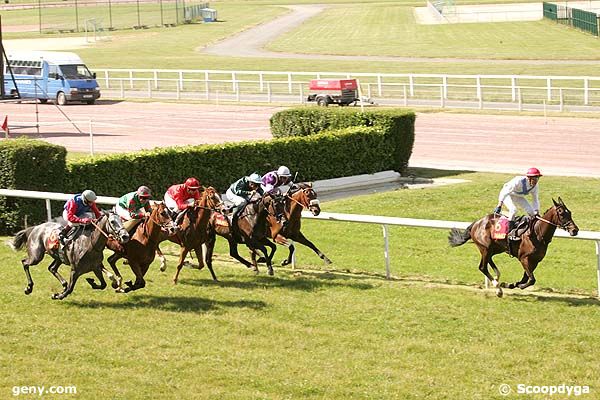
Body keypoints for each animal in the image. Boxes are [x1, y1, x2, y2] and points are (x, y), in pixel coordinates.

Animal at [448, 198, 580, 296]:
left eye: (570, 212)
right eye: (562, 213)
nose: (575, 230)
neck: (538, 234)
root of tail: (477, 222)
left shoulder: (535, 261)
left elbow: (526, 278)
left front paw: (510, 284)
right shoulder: (524, 258)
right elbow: (531, 279)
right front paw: (516, 285)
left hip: (495, 248)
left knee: (488, 262)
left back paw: (497, 279)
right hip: (485, 248)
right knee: (482, 267)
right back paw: (498, 289)